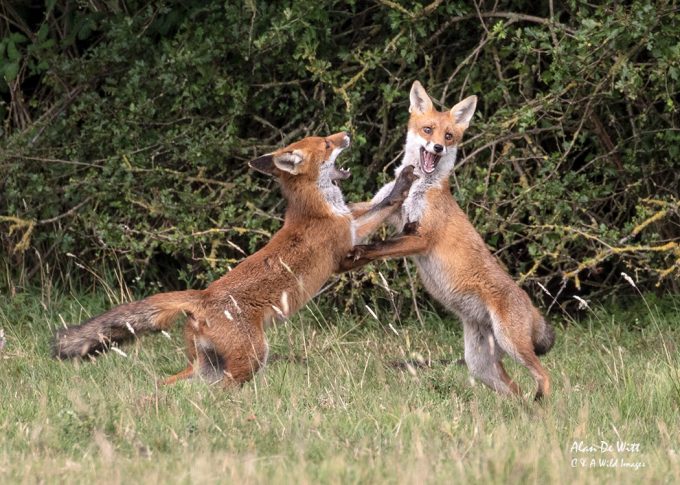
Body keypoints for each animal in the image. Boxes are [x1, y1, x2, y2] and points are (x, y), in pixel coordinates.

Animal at [54, 132, 416, 387]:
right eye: (327, 144)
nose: (347, 134)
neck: (321, 209)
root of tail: (202, 297)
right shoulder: (344, 250)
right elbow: (381, 209)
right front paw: (403, 185)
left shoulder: (351, 216)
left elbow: (372, 204)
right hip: (251, 358)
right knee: (220, 391)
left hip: (206, 366)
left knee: (174, 384)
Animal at [341, 81, 555, 401]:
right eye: (428, 130)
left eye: (449, 136)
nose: (439, 147)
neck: (420, 187)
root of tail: (528, 303)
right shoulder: (383, 208)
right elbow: (355, 213)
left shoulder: (421, 237)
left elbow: (381, 247)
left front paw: (358, 253)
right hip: (480, 365)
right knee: (515, 390)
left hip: (510, 343)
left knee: (544, 376)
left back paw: (541, 402)